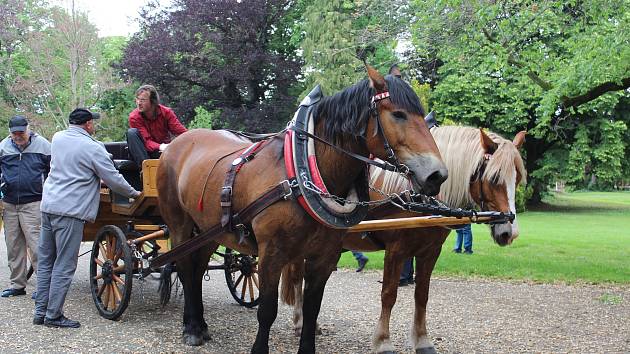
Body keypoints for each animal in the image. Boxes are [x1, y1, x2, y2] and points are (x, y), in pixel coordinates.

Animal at [157, 65, 450, 352]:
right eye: (399, 114)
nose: (437, 175)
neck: (297, 176)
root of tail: (177, 143)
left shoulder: (324, 256)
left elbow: (312, 309)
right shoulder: (271, 253)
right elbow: (267, 311)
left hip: (209, 230)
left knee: (196, 270)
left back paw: (200, 324)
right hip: (180, 224)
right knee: (185, 268)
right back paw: (192, 329)